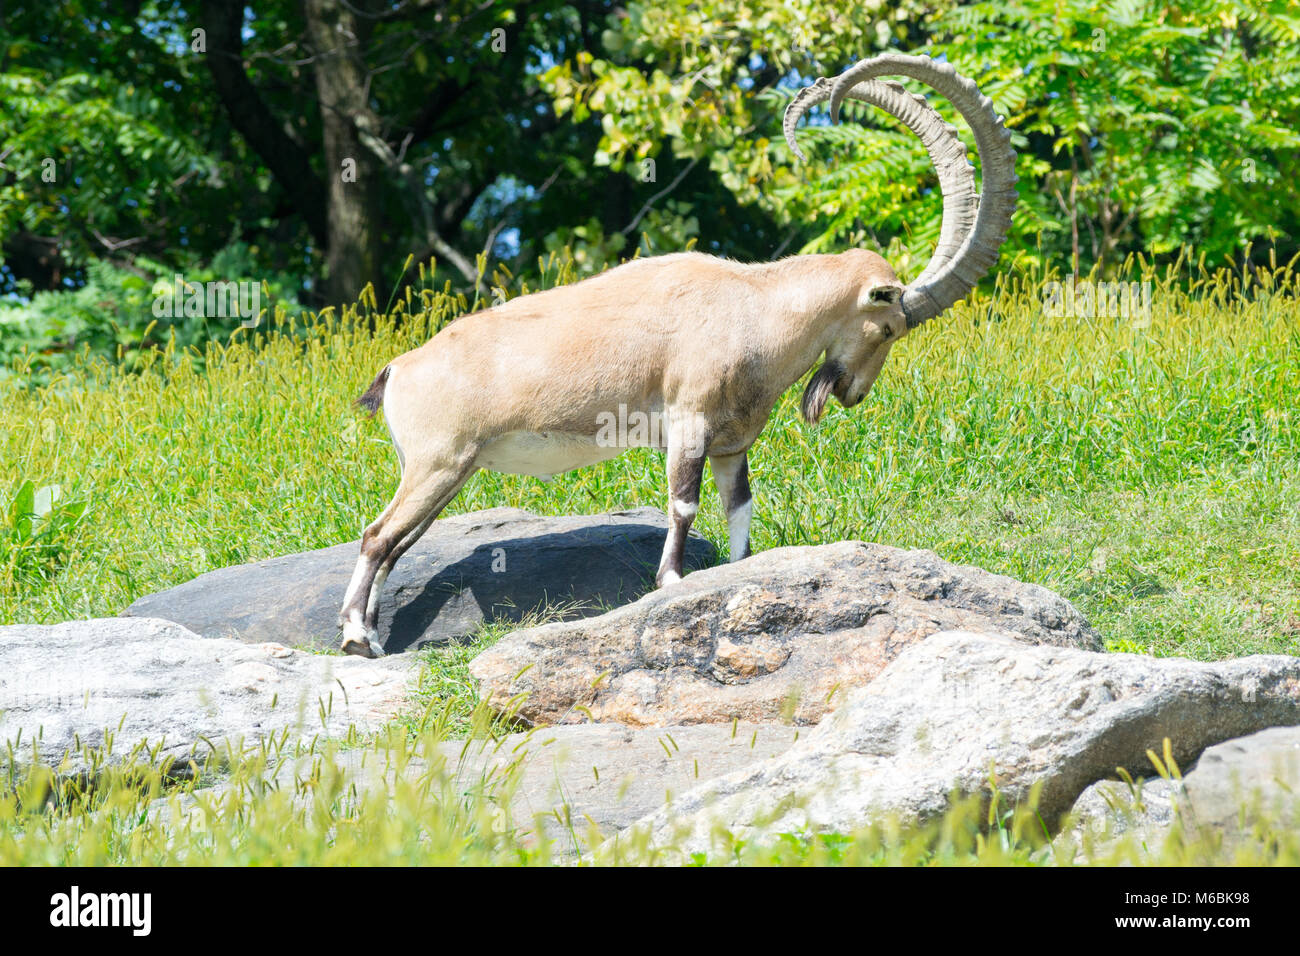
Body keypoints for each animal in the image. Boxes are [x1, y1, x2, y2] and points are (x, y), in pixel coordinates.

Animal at [338, 53, 1018, 657]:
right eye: (888, 327)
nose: (852, 394)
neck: (755, 307)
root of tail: (399, 370)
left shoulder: (732, 443)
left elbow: (738, 508)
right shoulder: (688, 421)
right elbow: (685, 503)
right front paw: (670, 581)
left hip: (445, 472)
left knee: (395, 545)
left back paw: (373, 635)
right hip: (438, 462)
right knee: (376, 536)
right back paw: (354, 639)